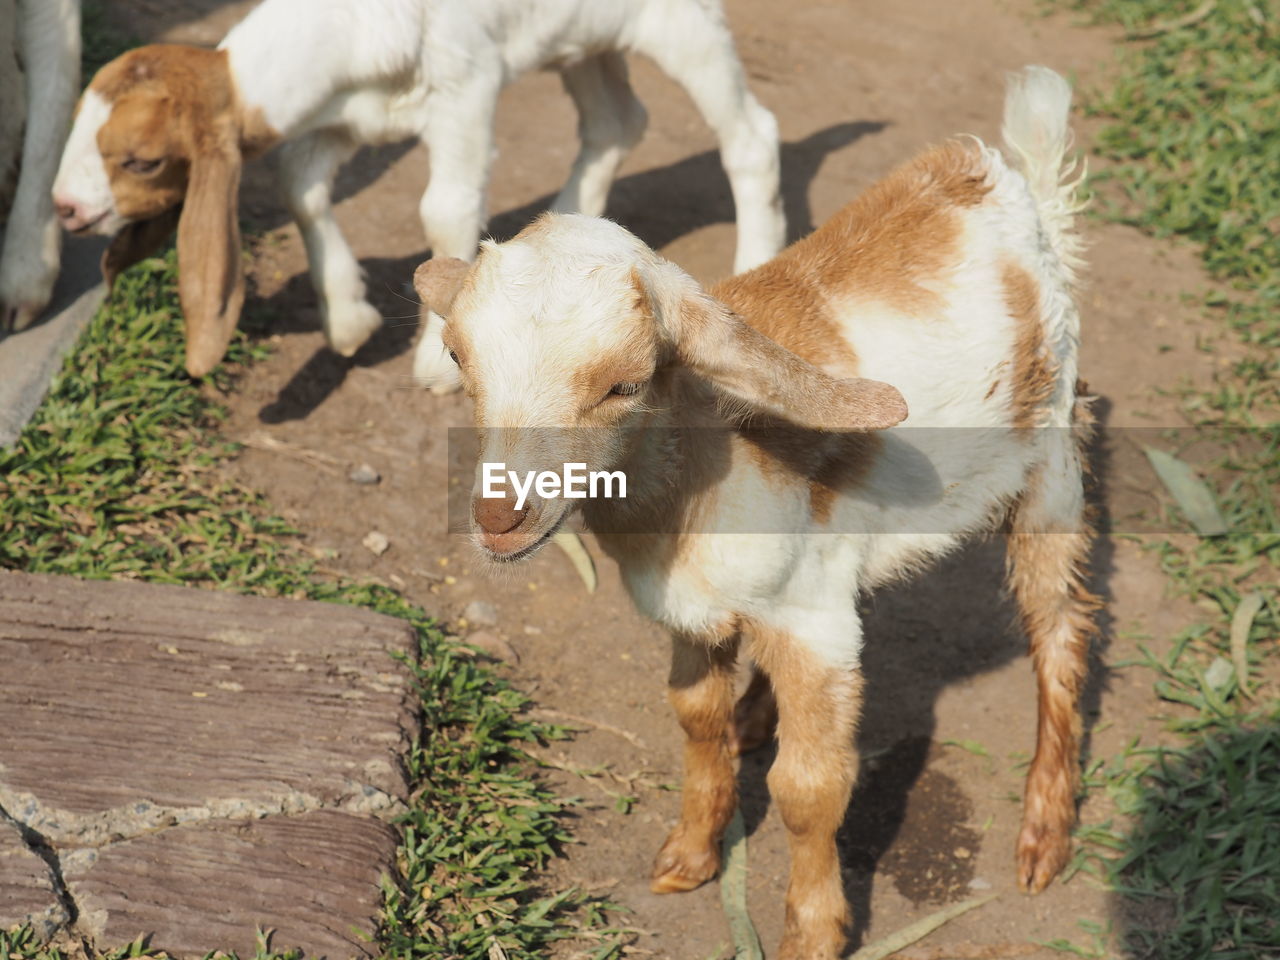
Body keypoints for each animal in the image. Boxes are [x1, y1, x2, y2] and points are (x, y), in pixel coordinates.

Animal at [49, 0, 784, 378]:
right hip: (585, 41)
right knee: (615, 120)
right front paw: (348, 321)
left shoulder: (466, 87)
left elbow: (444, 210)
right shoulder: (344, 118)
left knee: (751, 135)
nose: (65, 209)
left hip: (685, 25)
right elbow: (299, 189)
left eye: (142, 161)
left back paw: (756, 260)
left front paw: (435, 359)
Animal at [411, 66, 1096, 959]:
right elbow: (694, 717)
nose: (499, 516)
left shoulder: (814, 629)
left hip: (1050, 463)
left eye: (625, 384)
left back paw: (1044, 832)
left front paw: (812, 929)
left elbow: (811, 786)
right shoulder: (695, 607)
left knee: (1059, 628)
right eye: (457, 357)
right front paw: (692, 851)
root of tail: (1004, 177)